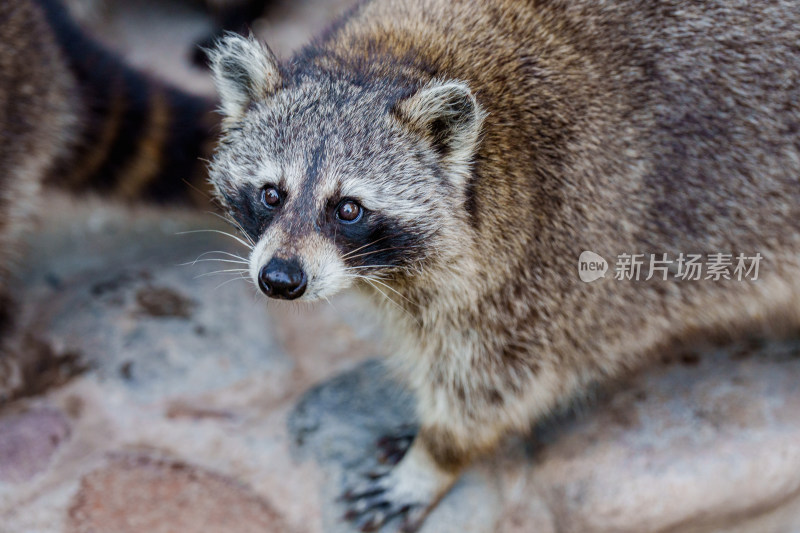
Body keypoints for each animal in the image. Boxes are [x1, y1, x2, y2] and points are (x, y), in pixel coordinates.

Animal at [205, 1, 800, 528]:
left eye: (348, 209)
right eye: (271, 194)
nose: (281, 279)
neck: (388, 62)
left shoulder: (551, 254)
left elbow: (494, 383)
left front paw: (434, 457)